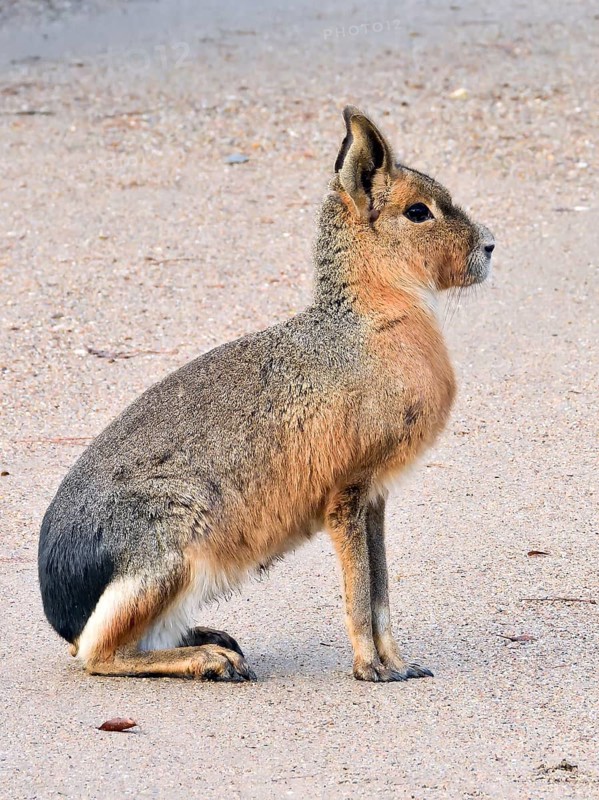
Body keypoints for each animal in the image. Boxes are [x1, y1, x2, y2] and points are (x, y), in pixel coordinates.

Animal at [38, 106, 494, 682]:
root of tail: (60, 604)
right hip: (174, 549)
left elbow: (382, 590)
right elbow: (359, 589)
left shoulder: (375, 496)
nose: (489, 247)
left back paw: (212, 640)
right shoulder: (346, 492)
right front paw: (370, 669)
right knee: (97, 655)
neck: (368, 328)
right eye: (419, 211)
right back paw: (209, 660)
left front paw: (399, 664)